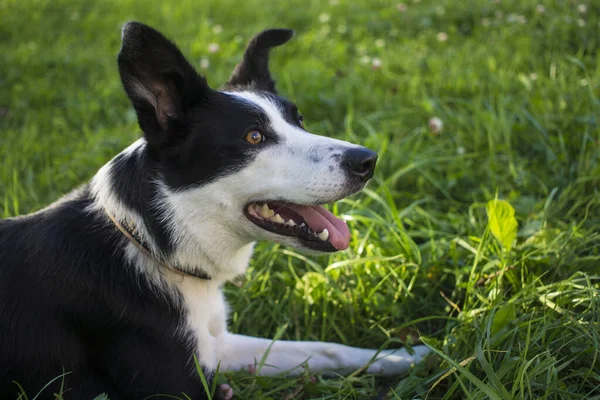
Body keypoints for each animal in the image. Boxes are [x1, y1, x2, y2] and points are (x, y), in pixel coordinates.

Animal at [1, 23, 432, 398]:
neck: (151, 243)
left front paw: (408, 356)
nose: (367, 161)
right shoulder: (179, 387)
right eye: (253, 137)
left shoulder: (217, 345)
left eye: (300, 120)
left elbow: (325, 349)